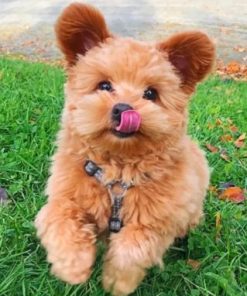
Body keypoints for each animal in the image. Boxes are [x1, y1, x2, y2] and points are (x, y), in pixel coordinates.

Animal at [34, 2, 214, 296]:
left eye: (150, 94)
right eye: (104, 85)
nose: (122, 109)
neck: (117, 173)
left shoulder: (158, 221)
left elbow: (133, 247)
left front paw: (117, 282)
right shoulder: (64, 197)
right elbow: (60, 221)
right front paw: (72, 268)